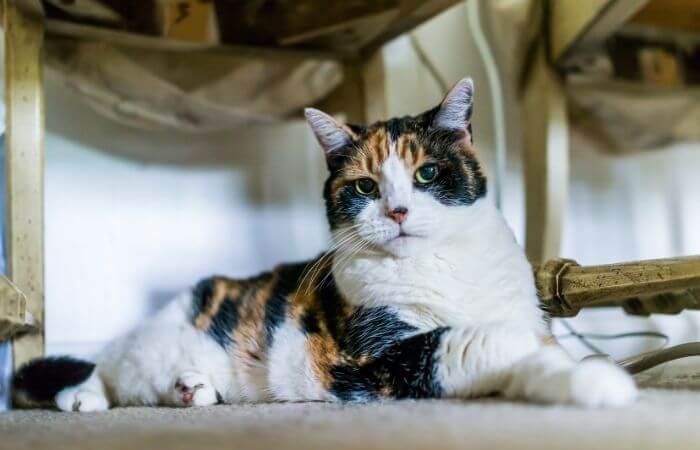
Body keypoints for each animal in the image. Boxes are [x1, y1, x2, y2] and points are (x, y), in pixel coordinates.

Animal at [12, 78, 636, 412]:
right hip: (150, 348)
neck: (441, 268)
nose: (398, 210)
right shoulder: (378, 359)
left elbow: (537, 349)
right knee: (107, 369)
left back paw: (194, 390)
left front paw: (579, 373)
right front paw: (600, 379)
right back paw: (84, 399)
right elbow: (479, 342)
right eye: (364, 186)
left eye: (428, 174)